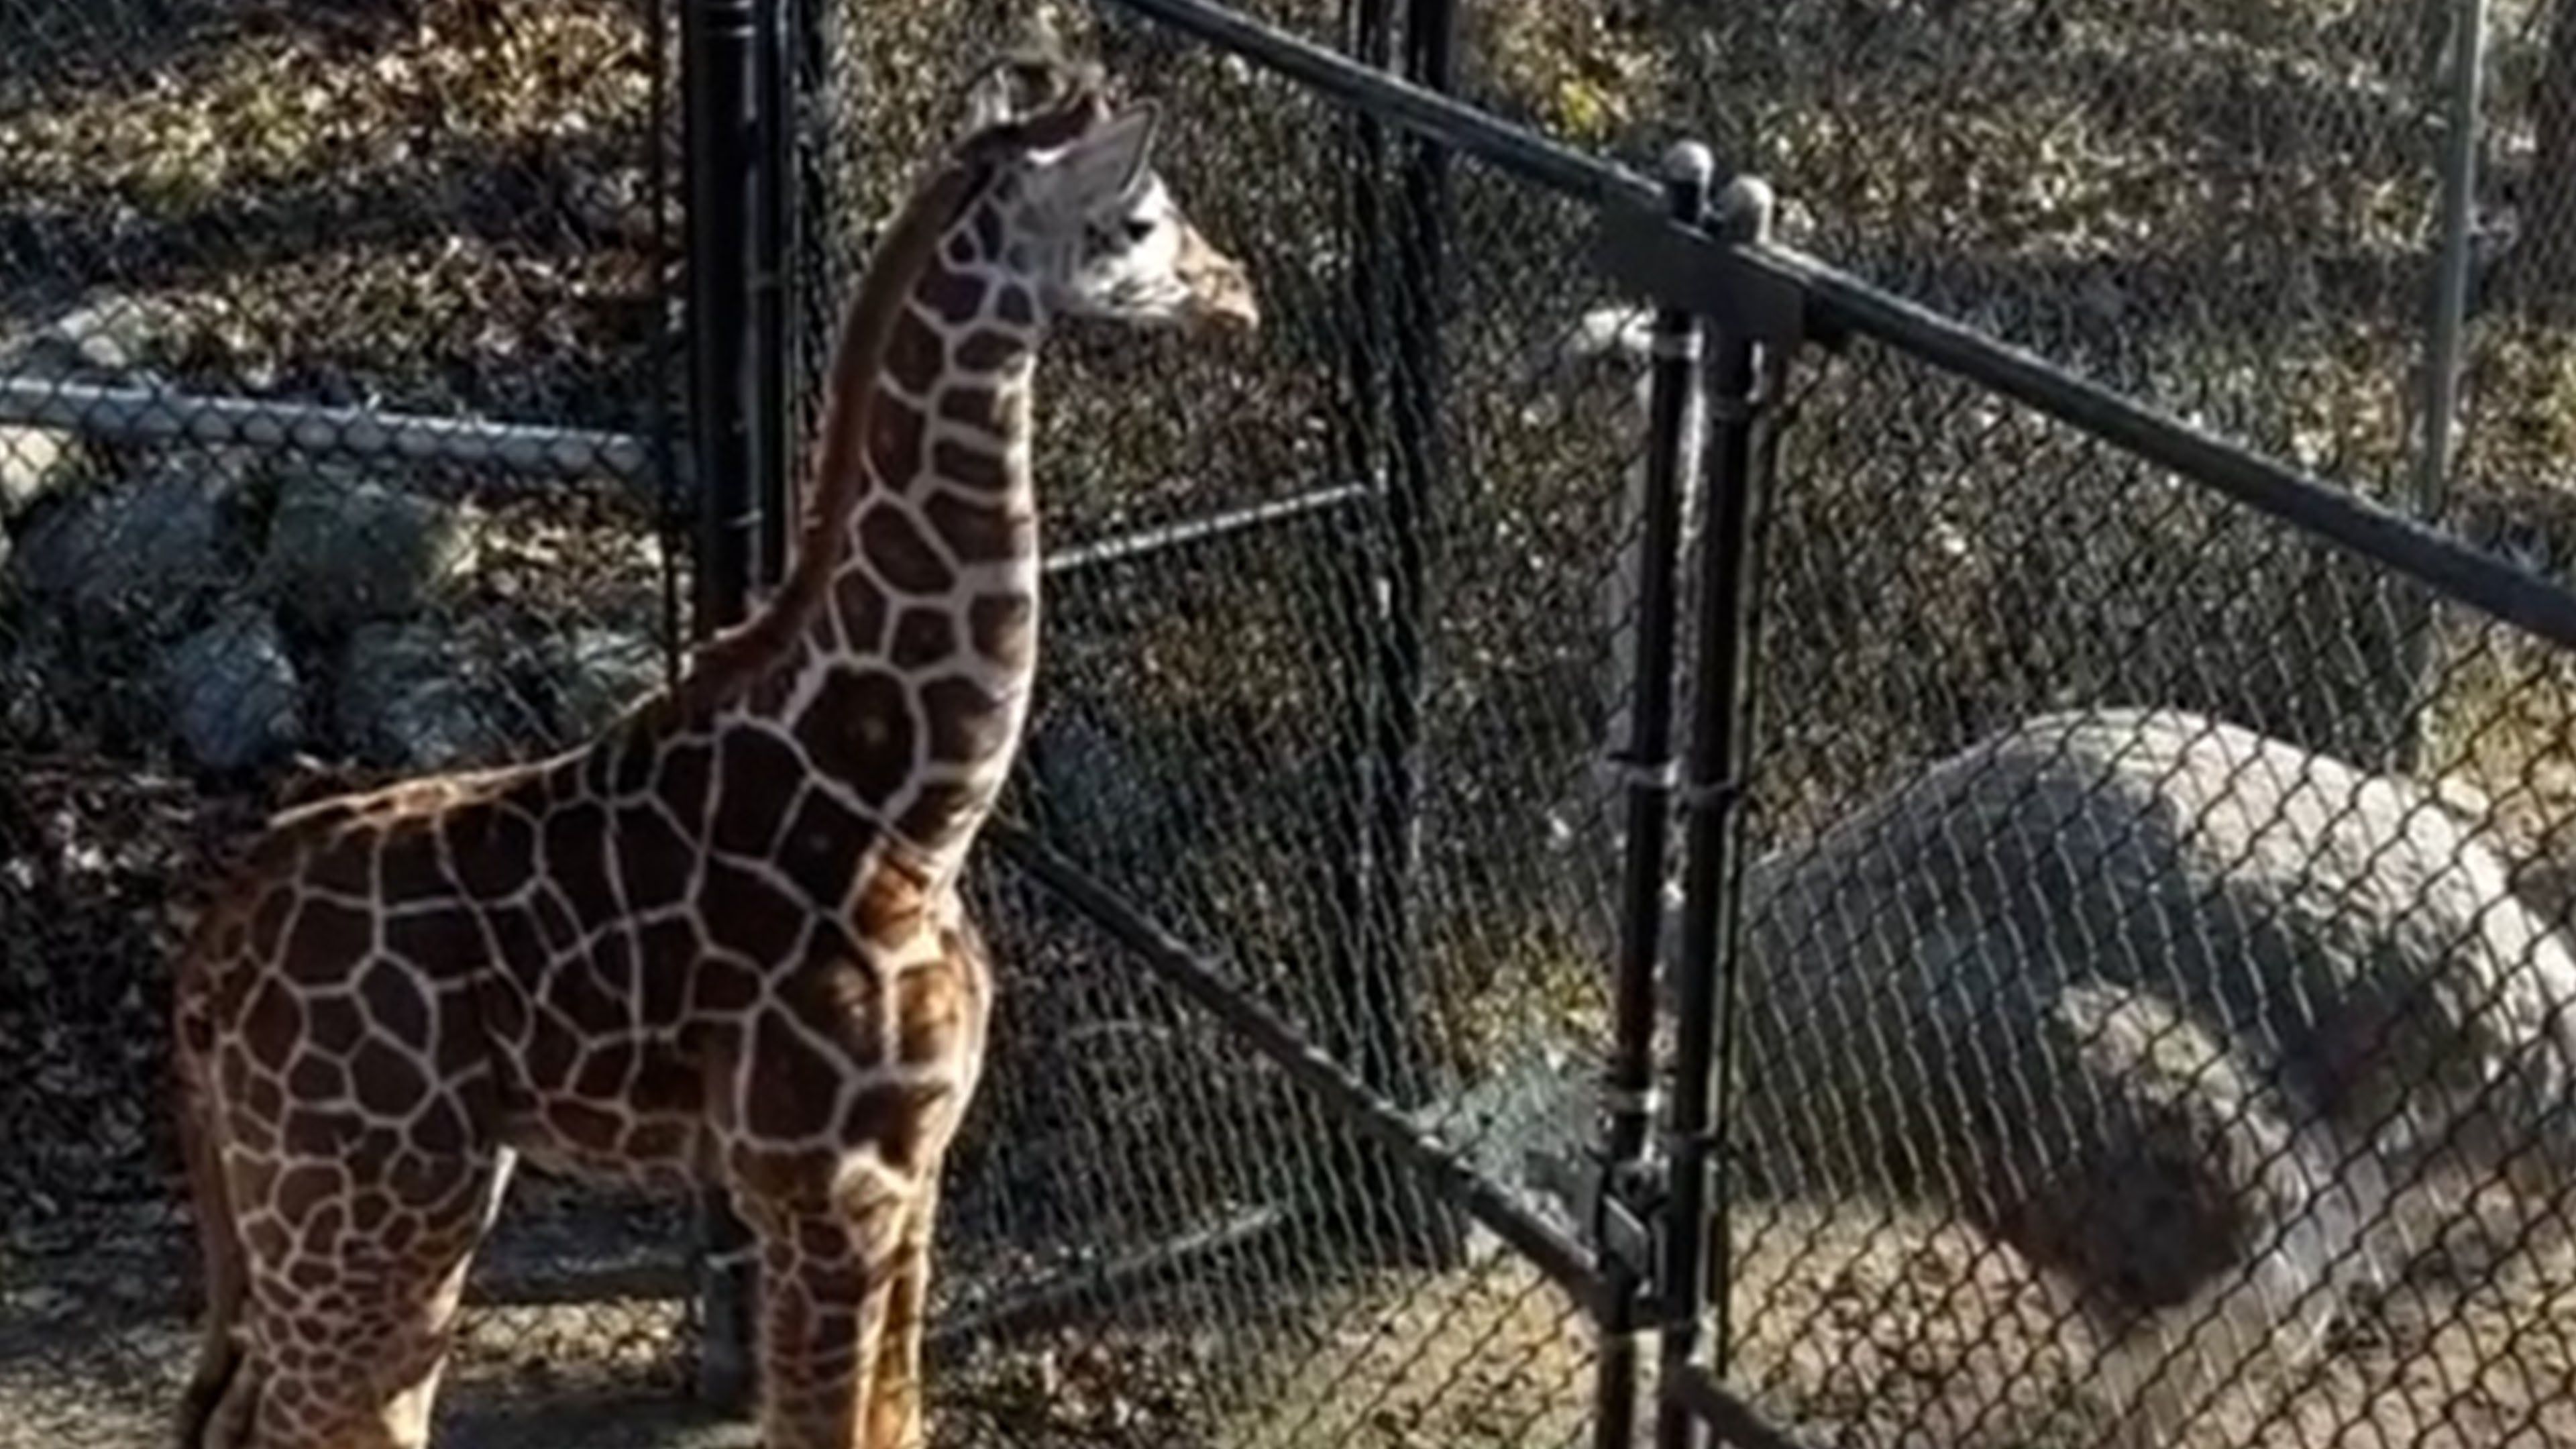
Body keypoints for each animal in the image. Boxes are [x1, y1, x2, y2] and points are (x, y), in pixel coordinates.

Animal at [168, 58, 1257, 1449]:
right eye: (1140, 219)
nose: (1240, 291)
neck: (913, 810)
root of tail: (208, 962)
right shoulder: (827, 1189)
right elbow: (825, 1426)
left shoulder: (918, 1175)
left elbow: (899, 1419)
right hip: (375, 1211)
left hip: (324, 1212)